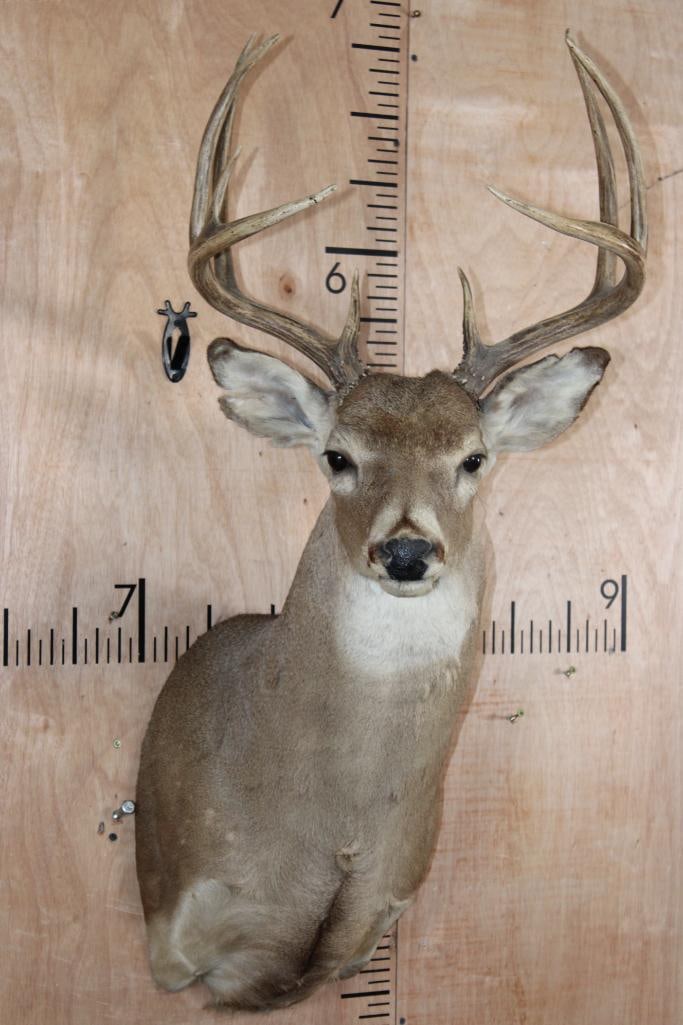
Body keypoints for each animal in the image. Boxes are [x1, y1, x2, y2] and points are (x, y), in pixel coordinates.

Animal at [135, 32, 646, 1011]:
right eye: (336, 455)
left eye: (473, 458)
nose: (406, 549)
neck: (331, 832)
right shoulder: (174, 943)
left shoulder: (382, 906)